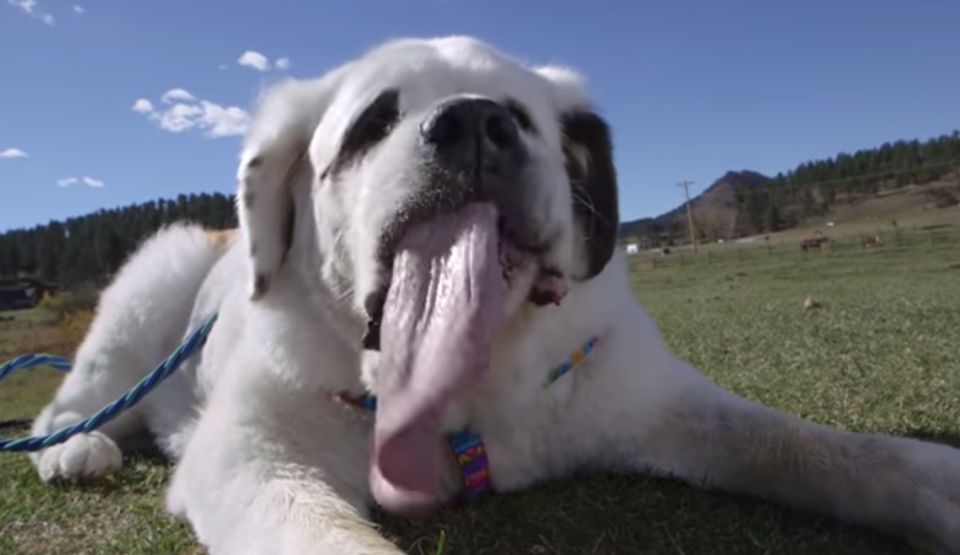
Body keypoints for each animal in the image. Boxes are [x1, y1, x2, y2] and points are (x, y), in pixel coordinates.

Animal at [27, 36, 960, 554]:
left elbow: (812, 446)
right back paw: (74, 448)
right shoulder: (251, 459)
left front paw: (929, 482)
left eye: (523, 114)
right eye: (372, 125)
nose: (474, 122)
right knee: (73, 401)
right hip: (150, 290)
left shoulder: (656, 398)